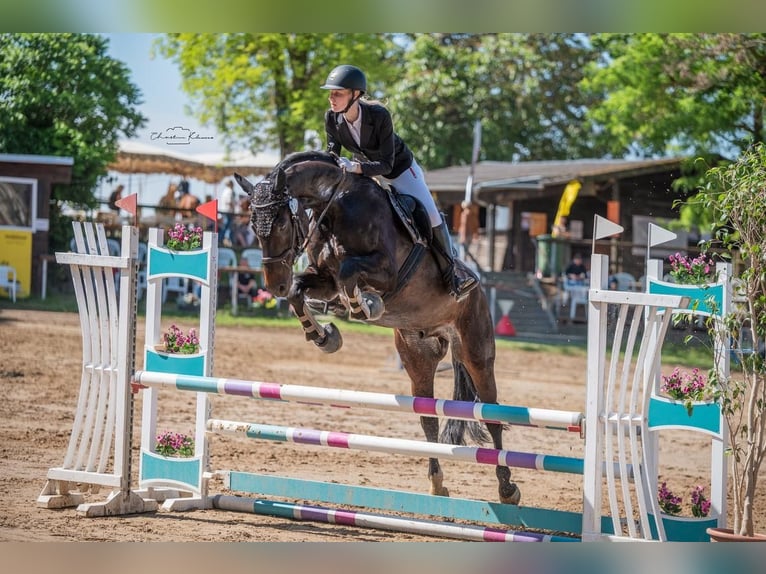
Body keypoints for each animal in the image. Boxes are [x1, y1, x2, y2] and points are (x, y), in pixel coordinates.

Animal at [234, 151, 520, 506]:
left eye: (284, 223)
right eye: (252, 225)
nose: (274, 286)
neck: (334, 205)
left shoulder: (386, 271)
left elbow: (348, 271)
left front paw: (365, 305)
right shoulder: (323, 279)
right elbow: (301, 291)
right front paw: (324, 335)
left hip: (476, 352)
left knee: (492, 416)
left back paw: (507, 488)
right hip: (417, 357)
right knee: (428, 418)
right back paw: (437, 483)